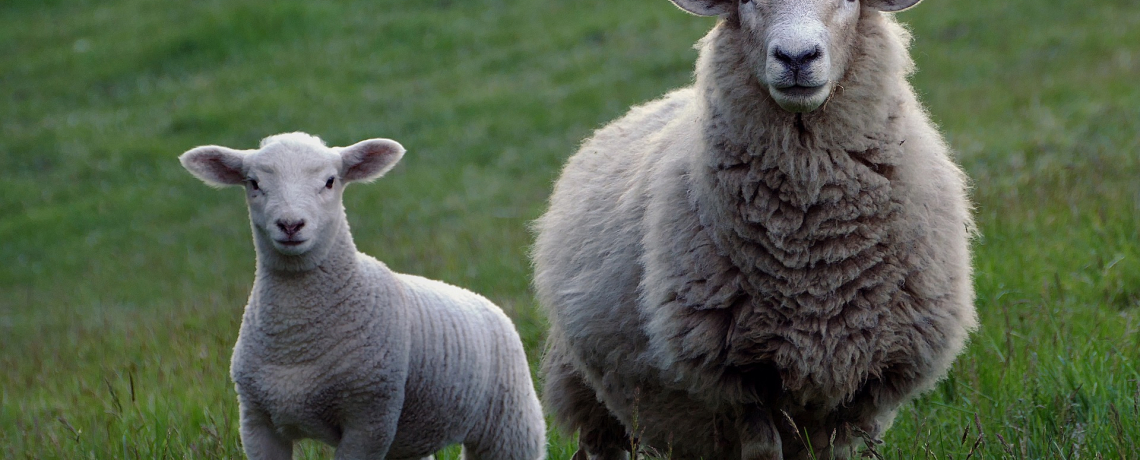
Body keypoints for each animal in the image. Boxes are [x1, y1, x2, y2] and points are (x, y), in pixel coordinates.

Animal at [180, 132, 544, 459]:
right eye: (253, 183)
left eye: (330, 182)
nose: (290, 225)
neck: (296, 341)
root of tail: (481, 300)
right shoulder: (257, 421)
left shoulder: (369, 418)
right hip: (407, 438)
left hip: (511, 423)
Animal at [531, 0, 971, 457]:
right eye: (746, 4)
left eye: (850, 3)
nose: (796, 58)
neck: (812, 256)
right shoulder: (738, 381)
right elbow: (762, 448)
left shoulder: (867, 383)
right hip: (587, 395)